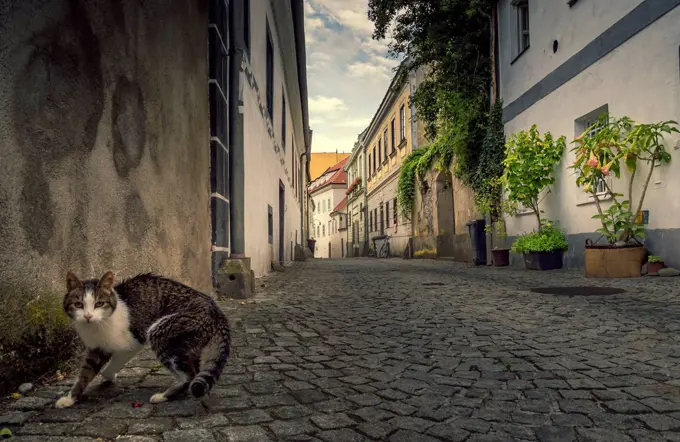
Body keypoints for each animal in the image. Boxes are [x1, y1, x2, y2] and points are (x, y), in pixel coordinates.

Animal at [55, 272, 231, 410]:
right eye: (78, 304)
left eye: (99, 304)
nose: (88, 316)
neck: (96, 326)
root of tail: (217, 312)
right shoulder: (97, 349)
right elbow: (85, 374)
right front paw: (70, 398)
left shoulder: (132, 343)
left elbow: (112, 363)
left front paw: (109, 375)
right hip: (189, 343)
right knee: (194, 369)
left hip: (160, 330)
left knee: (189, 375)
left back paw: (164, 396)